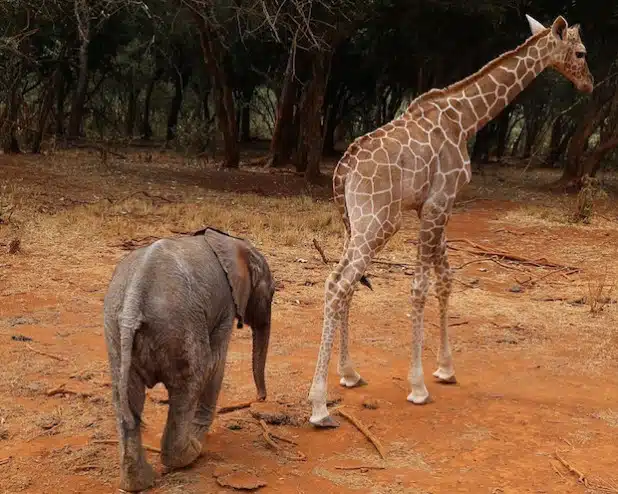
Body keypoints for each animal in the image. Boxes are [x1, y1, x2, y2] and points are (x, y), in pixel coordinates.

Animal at [104, 227, 274, 490]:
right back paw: (192, 453)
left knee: (126, 396)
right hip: (180, 326)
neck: (233, 244)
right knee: (192, 379)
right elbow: (216, 363)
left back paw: (139, 482)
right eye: (272, 294)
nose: (260, 398)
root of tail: (134, 300)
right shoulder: (225, 304)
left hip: (116, 332)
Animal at [308, 13, 592, 426]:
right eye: (581, 52)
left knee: (339, 281)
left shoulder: (436, 206)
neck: (468, 118)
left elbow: (445, 280)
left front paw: (445, 369)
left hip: (356, 223)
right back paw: (318, 406)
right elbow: (420, 288)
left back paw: (349, 374)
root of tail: (342, 169)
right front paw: (418, 386)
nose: (589, 83)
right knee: (338, 285)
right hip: (379, 221)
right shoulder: (439, 202)